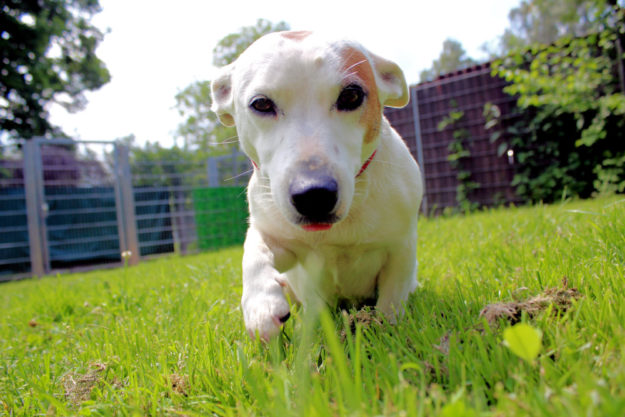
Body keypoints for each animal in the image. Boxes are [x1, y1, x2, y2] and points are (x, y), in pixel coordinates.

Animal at [211, 31, 424, 338]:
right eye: (261, 103)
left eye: (351, 95)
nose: (313, 195)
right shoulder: (277, 237)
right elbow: (254, 252)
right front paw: (260, 303)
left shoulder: (401, 248)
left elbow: (392, 298)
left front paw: (387, 330)